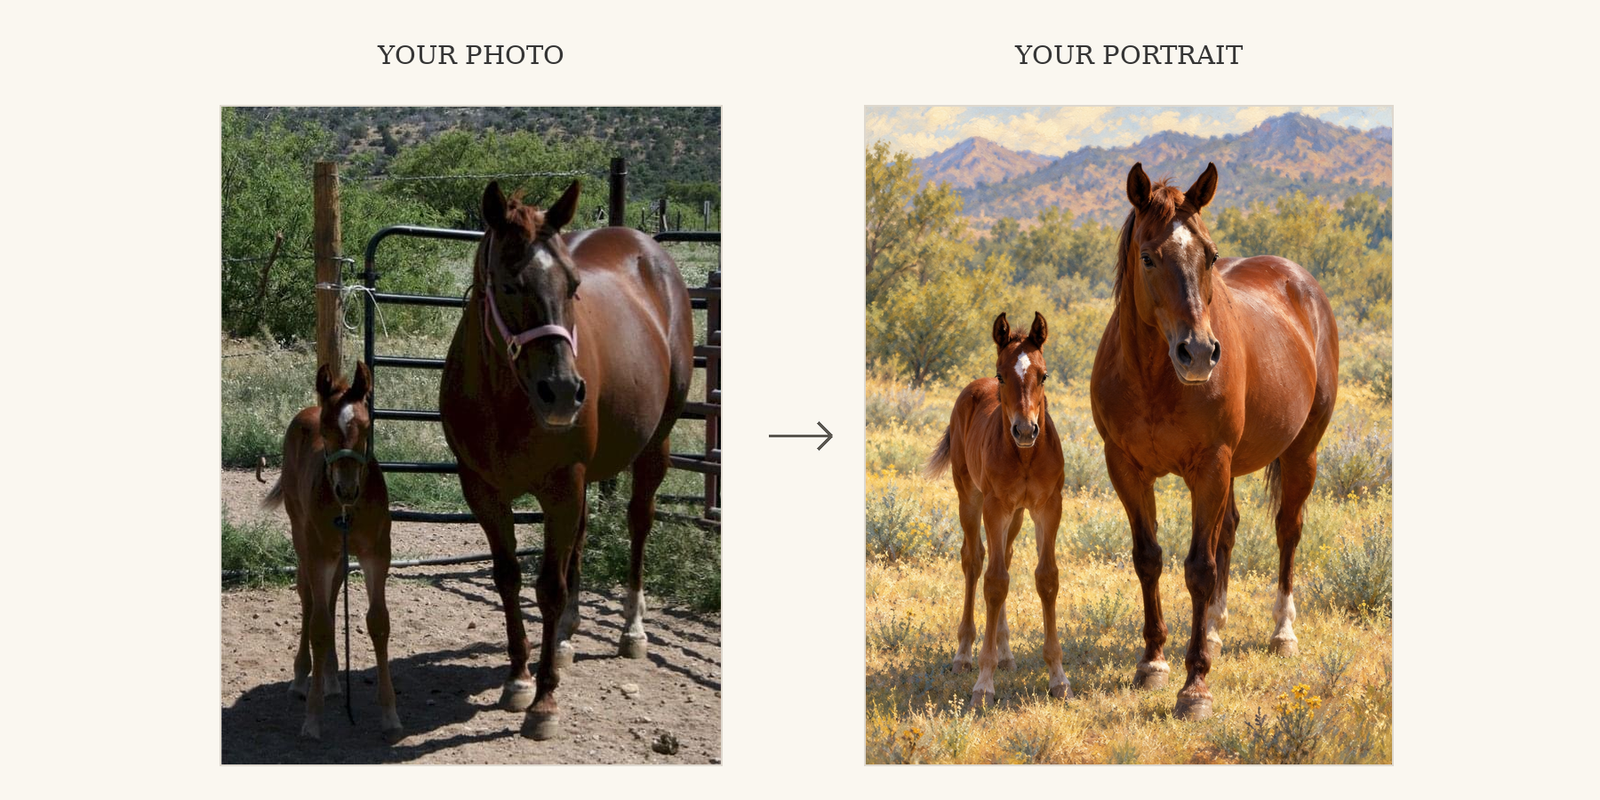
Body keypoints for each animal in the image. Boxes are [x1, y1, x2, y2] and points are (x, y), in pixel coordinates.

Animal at [262, 362, 402, 741]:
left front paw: (390, 715)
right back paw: (302, 677)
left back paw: (333, 677)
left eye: (366, 426)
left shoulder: (376, 553)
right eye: (326, 428)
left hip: (339, 554)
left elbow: (378, 622)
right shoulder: (319, 554)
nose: (347, 489)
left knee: (333, 593)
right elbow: (320, 626)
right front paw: (312, 718)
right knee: (310, 598)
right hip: (303, 537)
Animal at [439, 181, 693, 740]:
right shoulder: (483, 491)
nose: (563, 392)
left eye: (575, 285)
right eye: (510, 285)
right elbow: (509, 578)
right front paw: (518, 677)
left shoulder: (561, 486)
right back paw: (565, 639)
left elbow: (549, 587)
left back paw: (631, 628)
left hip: (655, 446)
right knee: (580, 537)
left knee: (639, 521)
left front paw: (544, 702)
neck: (504, 399)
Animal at [925, 312, 1070, 709]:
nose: (1025, 430)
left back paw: (1006, 654)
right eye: (1002, 374)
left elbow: (1046, 578)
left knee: (1003, 556)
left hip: (1016, 515)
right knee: (975, 560)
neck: (1026, 456)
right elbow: (994, 582)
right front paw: (983, 683)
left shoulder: (1048, 506)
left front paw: (1058, 678)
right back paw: (963, 655)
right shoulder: (994, 505)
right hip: (970, 497)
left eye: (1043, 375)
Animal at [1089, 162, 1339, 720]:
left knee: (1288, 530)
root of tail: (1302, 282)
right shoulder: (1126, 468)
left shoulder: (1210, 465)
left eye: (1211, 254)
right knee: (1229, 530)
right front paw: (1154, 662)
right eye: (1147, 255)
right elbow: (1148, 559)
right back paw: (1215, 630)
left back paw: (1282, 632)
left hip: (1301, 453)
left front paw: (1195, 685)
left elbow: (1199, 568)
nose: (1199, 353)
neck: (1154, 377)